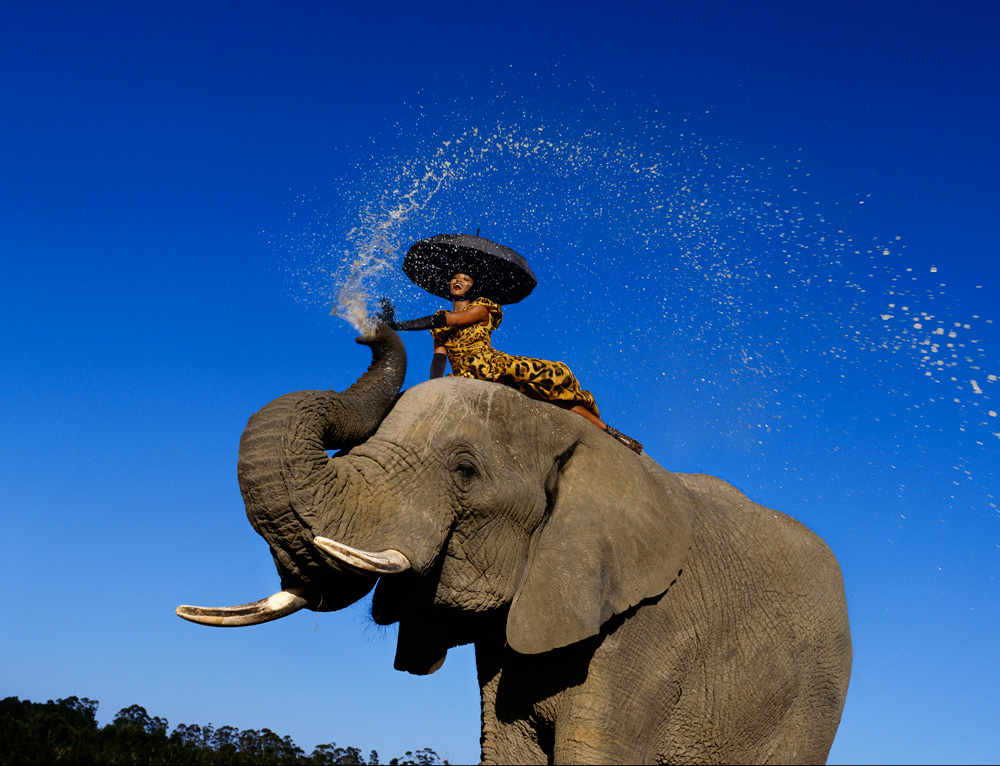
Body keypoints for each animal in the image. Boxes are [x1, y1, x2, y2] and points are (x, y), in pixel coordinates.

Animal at [178, 328, 852, 764]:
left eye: (465, 471)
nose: (371, 327)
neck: (572, 435)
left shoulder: (651, 630)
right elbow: (506, 748)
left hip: (814, 697)